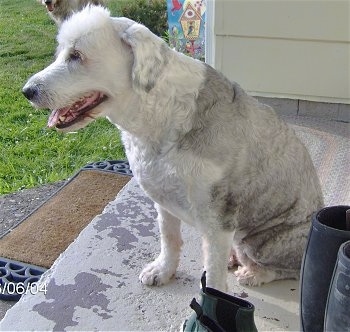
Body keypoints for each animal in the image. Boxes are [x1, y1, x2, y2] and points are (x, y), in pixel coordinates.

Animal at [21, 5, 324, 290]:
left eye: (76, 55)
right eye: (61, 53)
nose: (28, 91)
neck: (160, 110)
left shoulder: (218, 218)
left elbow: (213, 276)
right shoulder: (163, 197)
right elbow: (169, 239)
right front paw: (163, 271)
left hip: (265, 240)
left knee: (291, 269)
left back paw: (254, 273)